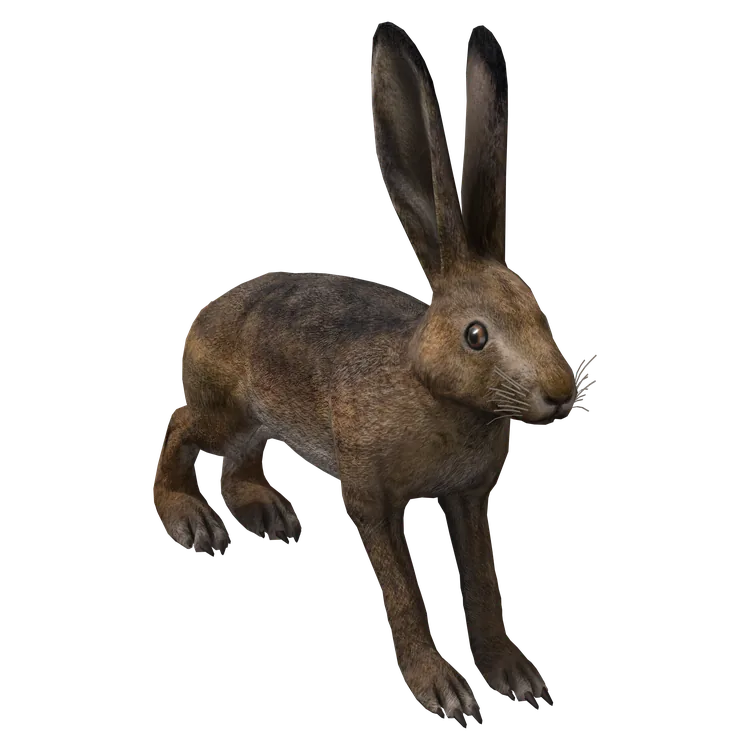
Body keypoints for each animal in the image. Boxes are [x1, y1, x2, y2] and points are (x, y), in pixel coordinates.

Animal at [151, 21, 576, 722]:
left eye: (540, 311)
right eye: (476, 336)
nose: (561, 392)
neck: (433, 390)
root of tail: (208, 315)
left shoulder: (467, 496)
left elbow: (482, 582)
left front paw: (516, 676)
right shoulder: (371, 495)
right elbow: (402, 591)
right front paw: (444, 691)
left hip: (258, 422)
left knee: (236, 461)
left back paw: (266, 511)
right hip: (224, 406)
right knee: (179, 430)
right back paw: (189, 518)